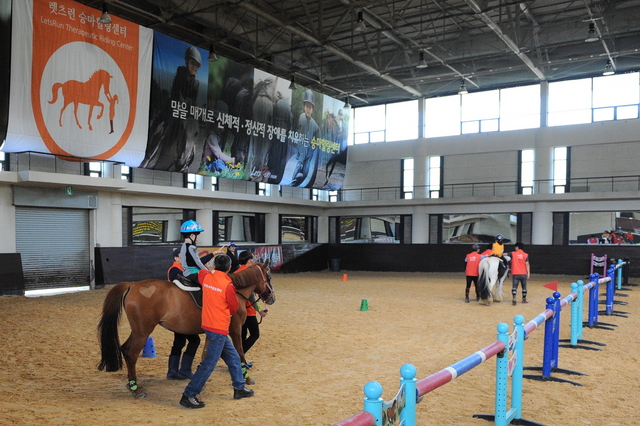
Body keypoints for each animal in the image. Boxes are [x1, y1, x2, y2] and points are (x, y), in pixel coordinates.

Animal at [97, 262, 272, 398]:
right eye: (269, 277)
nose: (271, 297)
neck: (235, 290)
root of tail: (132, 285)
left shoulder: (213, 333)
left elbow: (206, 355)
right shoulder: (234, 329)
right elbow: (240, 352)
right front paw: (247, 379)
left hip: (139, 331)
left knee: (125, 349)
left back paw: (131, 384)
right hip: (142, 331)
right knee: (131, 353)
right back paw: (135, 389)